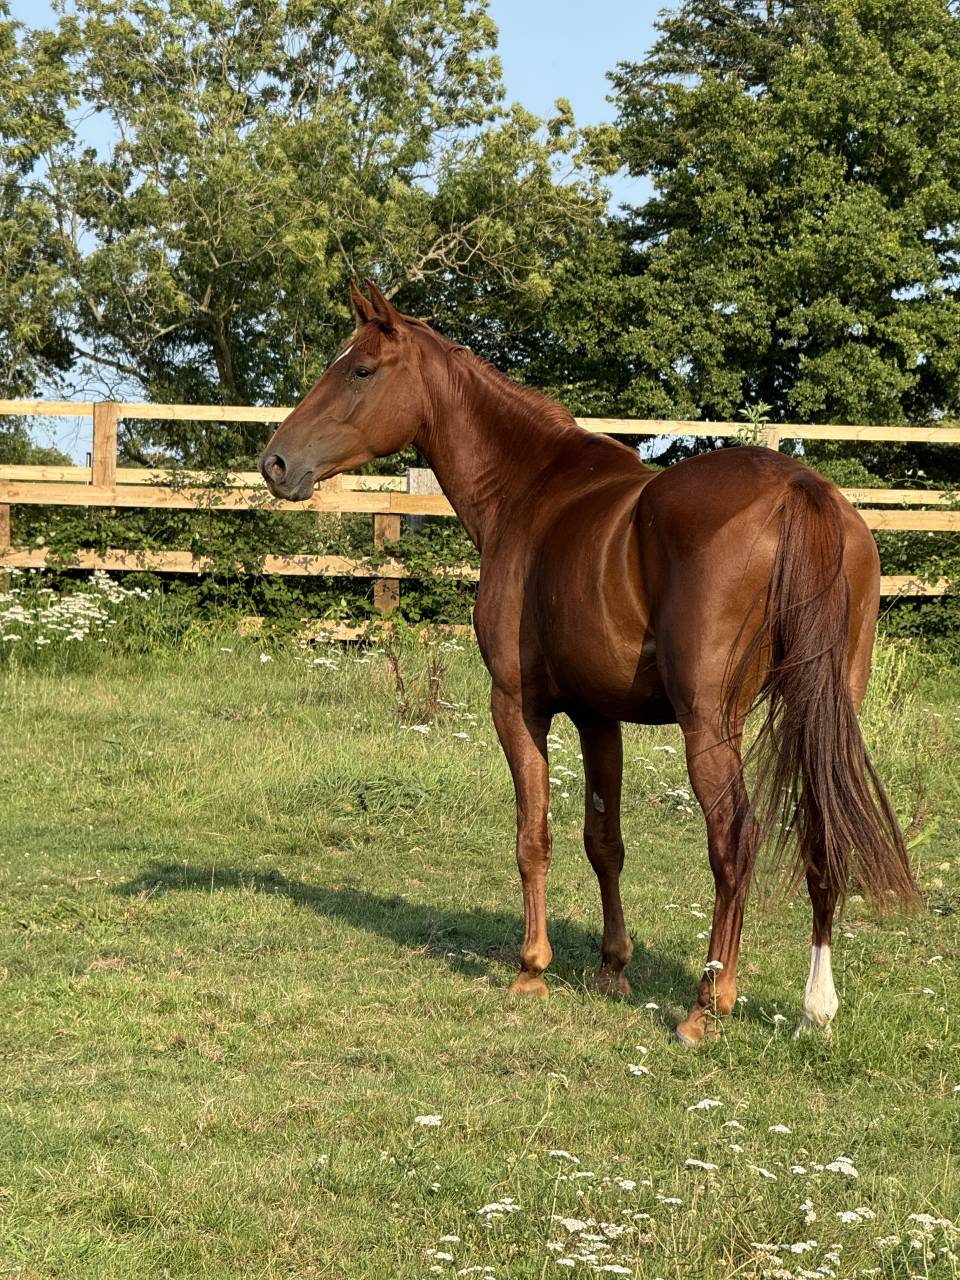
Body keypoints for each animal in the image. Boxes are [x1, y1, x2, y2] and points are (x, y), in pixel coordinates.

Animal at [259, 280, 917, 1045]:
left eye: (361, 370)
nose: (276, 464)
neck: (528, 490)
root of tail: (798, 492)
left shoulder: (519, 706)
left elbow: (533, 836)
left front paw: (532, 969)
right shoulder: (600, 717)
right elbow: (604, 841)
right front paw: (612, 968)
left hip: (710, 724)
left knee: (735, 840)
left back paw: (707, 1004)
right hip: (826, 713)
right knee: (821, 836)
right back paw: (817, 1006)